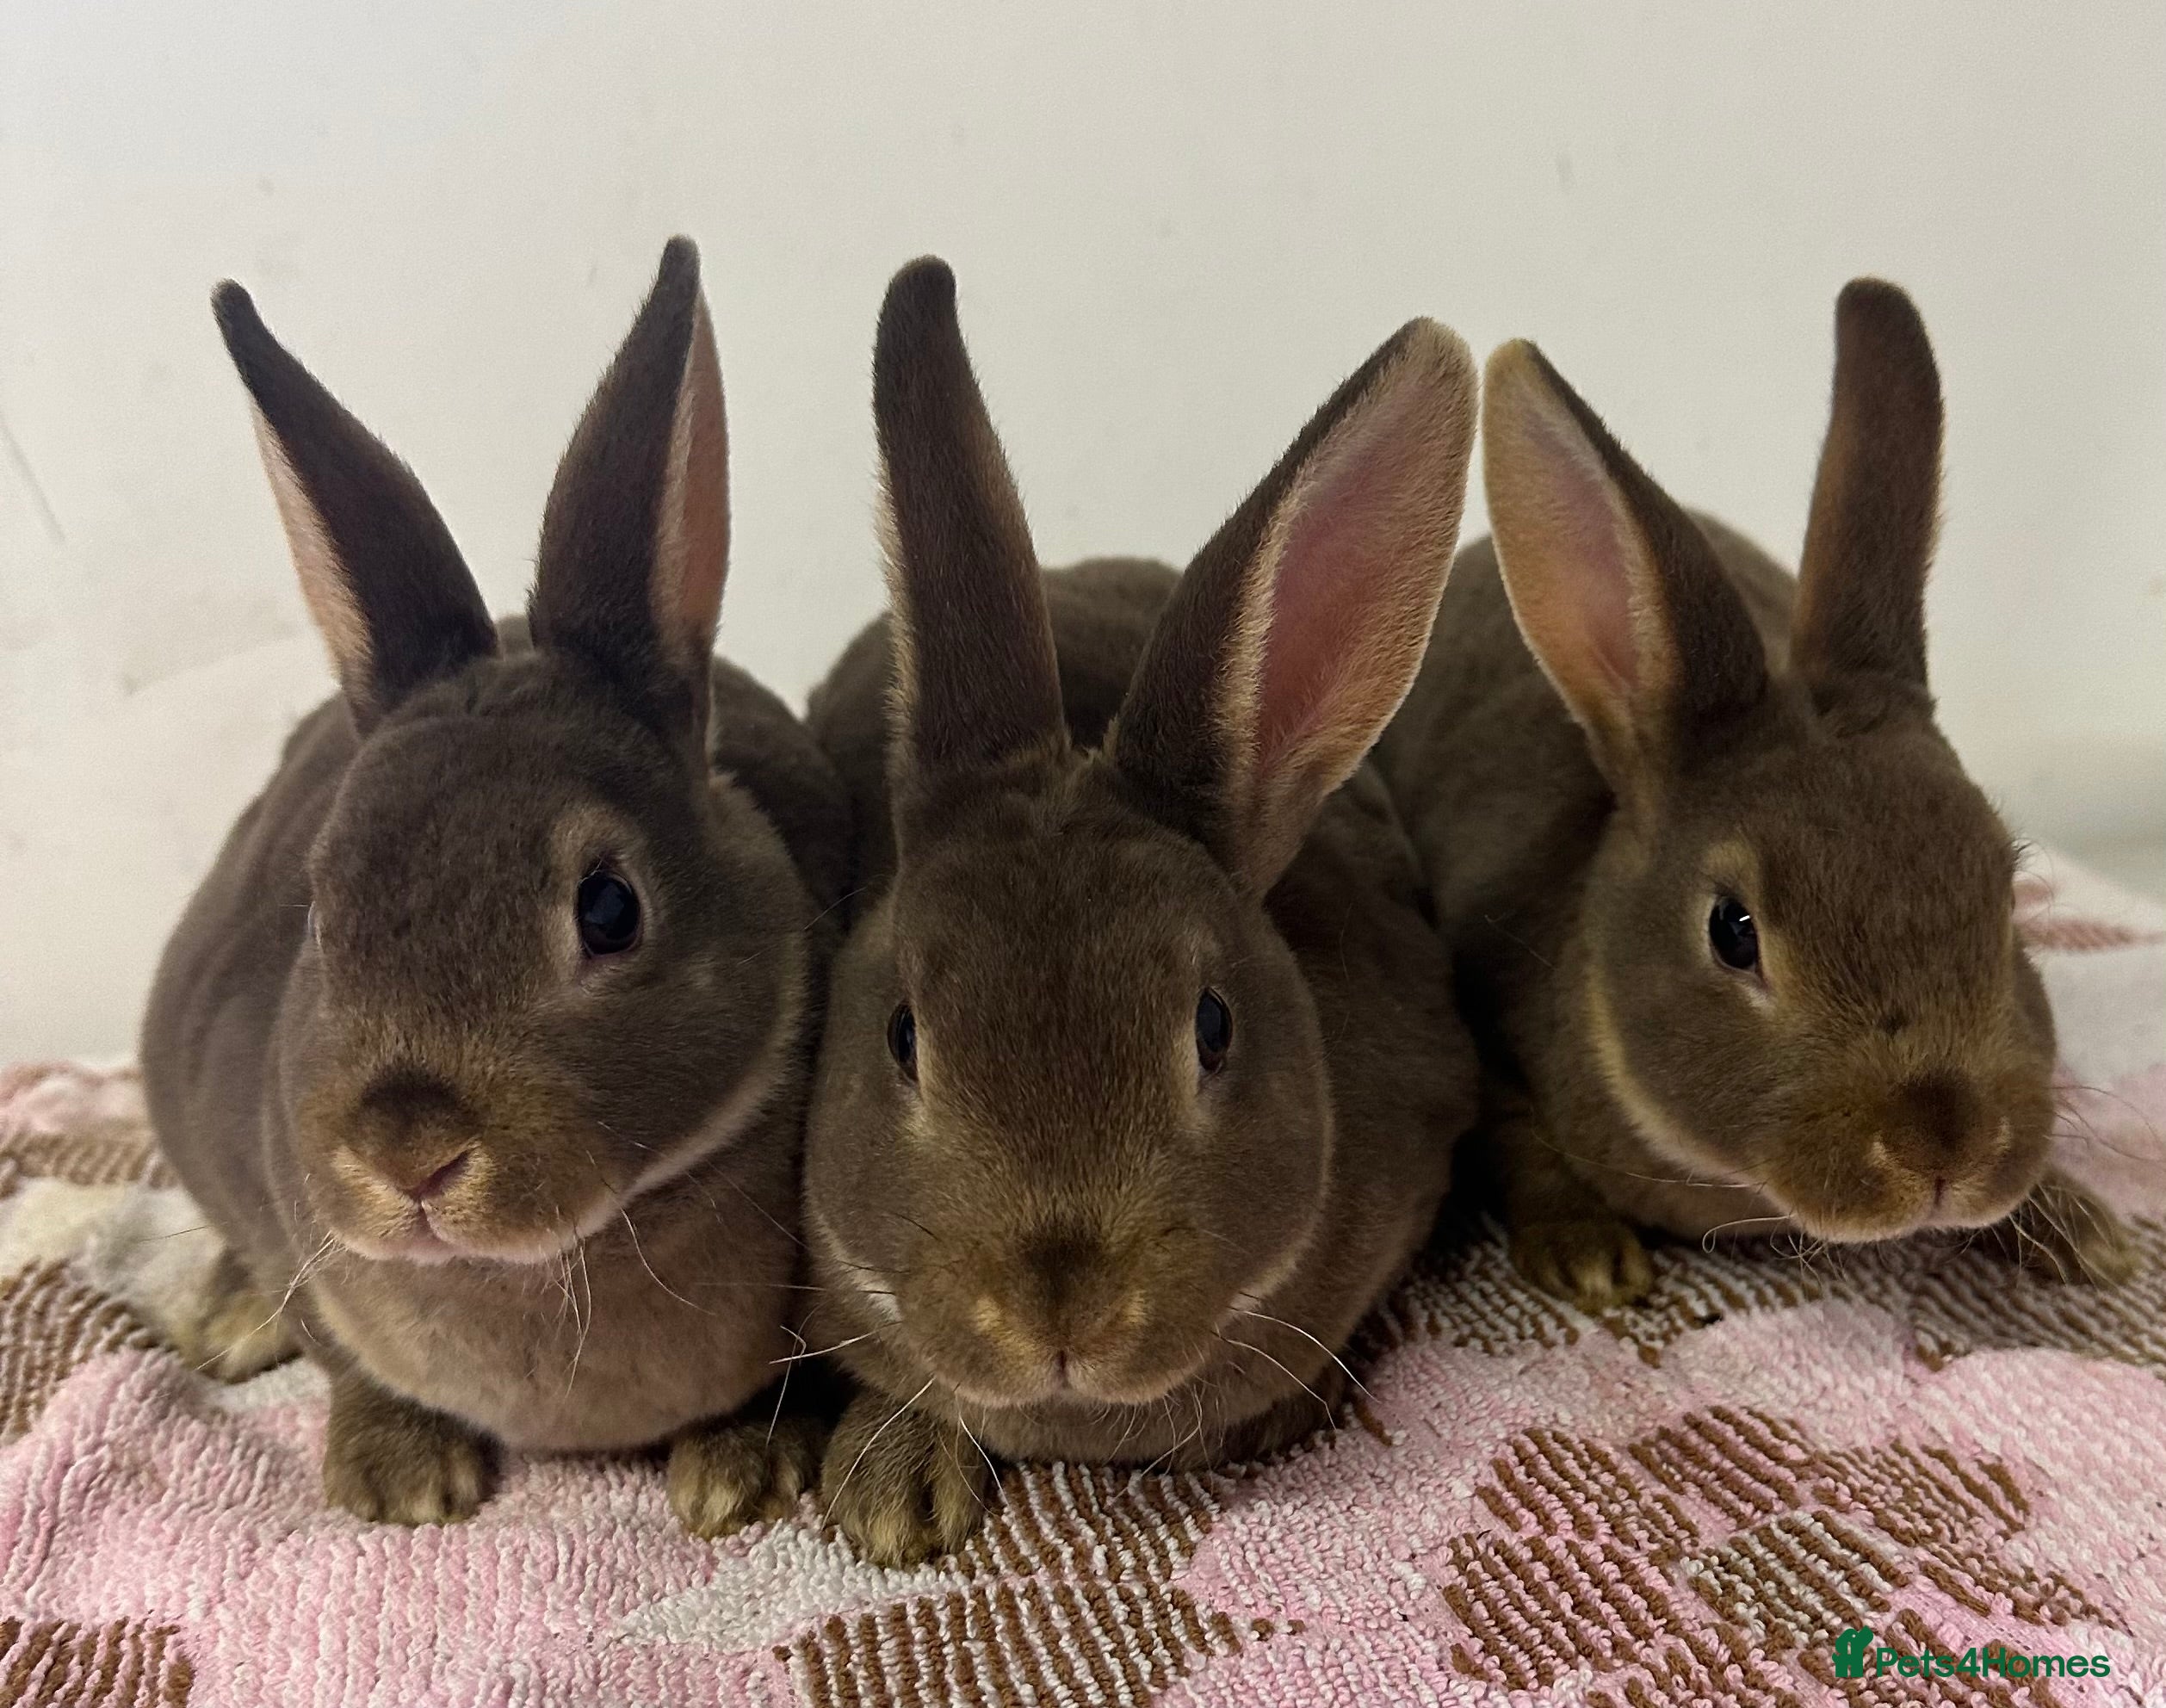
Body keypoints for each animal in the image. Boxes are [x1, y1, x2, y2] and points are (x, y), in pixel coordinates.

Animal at [139, 238, 851, 1533]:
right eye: (322, 911)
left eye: (609, 908)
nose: (407, 1155)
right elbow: (339, 1349)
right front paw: (402, 1477)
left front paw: (742, 1470)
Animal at [1373, 279, 2136, 1315]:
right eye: (1733, 932)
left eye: (2007, 896)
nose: (1944, 1149)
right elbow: (1518, 1145)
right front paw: (1587, 1255)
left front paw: (2080, 1231)